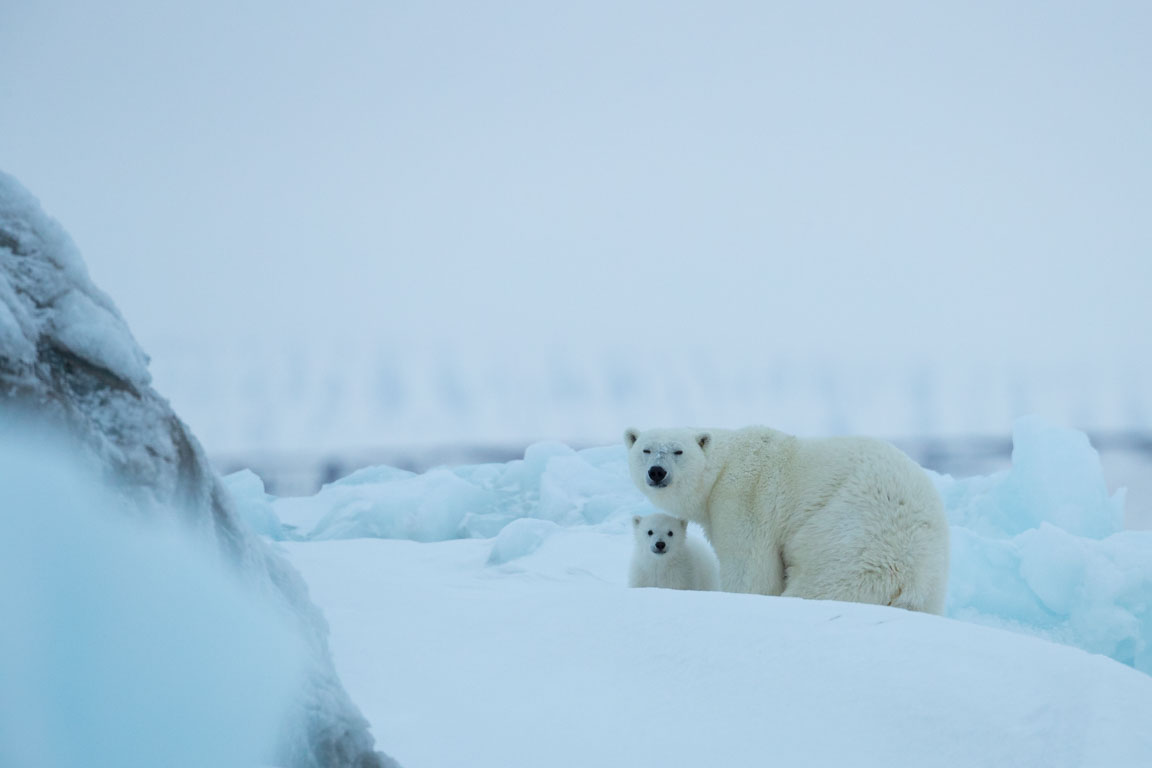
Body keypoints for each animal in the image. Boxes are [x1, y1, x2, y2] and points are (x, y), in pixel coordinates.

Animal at [626, 423, 949, 617]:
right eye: (645, 449)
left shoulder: (743, 499)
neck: (723, 467)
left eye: (678, 451)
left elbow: (752, 570)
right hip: (932, 585)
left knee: (820, 584)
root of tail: (912, 576)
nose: (657, 472)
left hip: (852, 544)